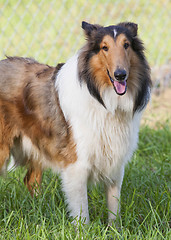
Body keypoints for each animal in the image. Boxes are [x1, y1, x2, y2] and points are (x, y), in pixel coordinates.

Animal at [0, 21, 151, 224]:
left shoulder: (115, 163)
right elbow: (81, 210)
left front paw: (114, 228)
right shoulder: (77, 164)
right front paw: (84, 229)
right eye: (104, 47)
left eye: (126, 45)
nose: (120, 75)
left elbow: (114, 205)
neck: (102, 98)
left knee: (30, 180)